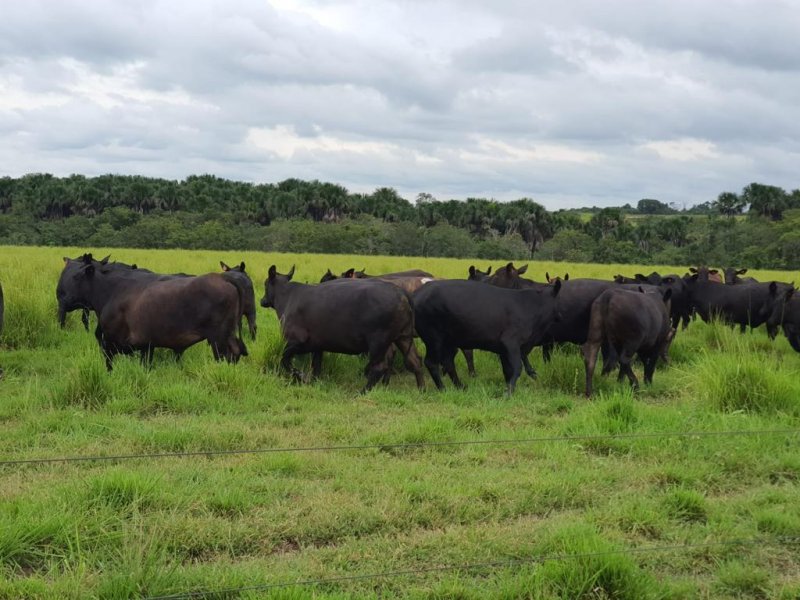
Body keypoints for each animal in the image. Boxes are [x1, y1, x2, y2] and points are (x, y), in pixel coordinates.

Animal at [62, 254, 245, 368]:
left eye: (76, 277)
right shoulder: (146, 345)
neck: (111, 291)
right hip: (228, 334)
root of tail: (223, 278)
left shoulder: (110, 343)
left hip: (218, 337)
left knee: (226, 355)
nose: (63, 297)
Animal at [262, 264, 424, 392]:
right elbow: (316, 367)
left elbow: (284, 359)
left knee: (379, 367)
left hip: (379, 341)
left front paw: (300, 376)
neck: (289, 297)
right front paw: (312, 382)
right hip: (403, 337)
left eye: (265, 284)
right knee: (415, 361)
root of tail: (401, 292)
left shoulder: (297, 341)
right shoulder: (317, 346)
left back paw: (362, 392)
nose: (262, 300)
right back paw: (421, 390)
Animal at [412, 280, 564, 396]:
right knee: (431, 362)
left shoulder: (505, 349)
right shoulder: (511, 342)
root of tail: (419, 292)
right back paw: (443, 389)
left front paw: (508, 387)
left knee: (448, 362)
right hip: (434, 339)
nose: (561, 315)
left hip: (450, 341)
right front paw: (508, 393)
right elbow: (517, 367)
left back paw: (460, 386)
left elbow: (508, 370)